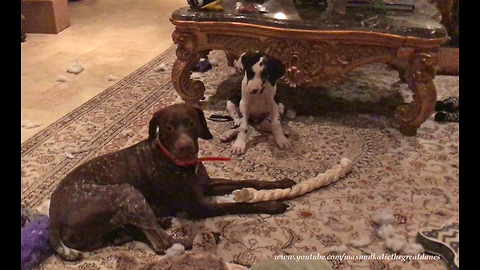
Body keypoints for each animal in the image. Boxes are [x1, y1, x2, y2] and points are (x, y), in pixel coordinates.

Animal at [49, 104, 296, 262]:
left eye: (191, 123)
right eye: (168, 128)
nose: (185, 147)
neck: (180, 164)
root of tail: (53, 221)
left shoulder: (207, 185)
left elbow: (250, 180)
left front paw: (281, 182)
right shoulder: (198, 207)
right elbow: (240, 205)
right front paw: (272, 205)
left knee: (133, 234)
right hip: (128, 193)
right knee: (163, 244)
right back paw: (203, 237)